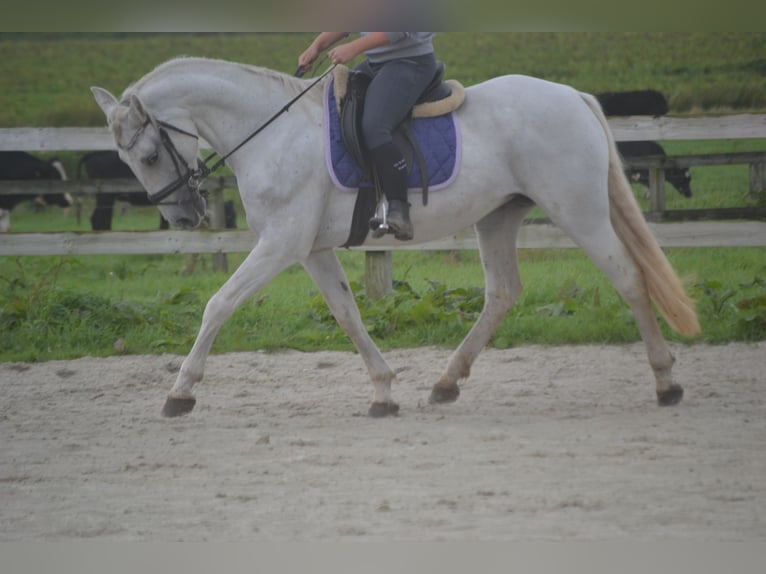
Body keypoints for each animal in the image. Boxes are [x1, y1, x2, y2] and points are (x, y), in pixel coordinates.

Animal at [91, 57, 704, 418]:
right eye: (130, 159)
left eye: (149, 155)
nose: (183, 216)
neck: (273, 132)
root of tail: (573, 96)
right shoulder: (311, 250)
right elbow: (347, 315)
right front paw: (384, 390)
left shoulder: (280, 246)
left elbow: (217, 305)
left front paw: (180, 392)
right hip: (499, 216)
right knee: (502, 293)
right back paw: (446, 383)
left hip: (578, 211)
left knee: (629, 279)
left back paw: (667, 382)